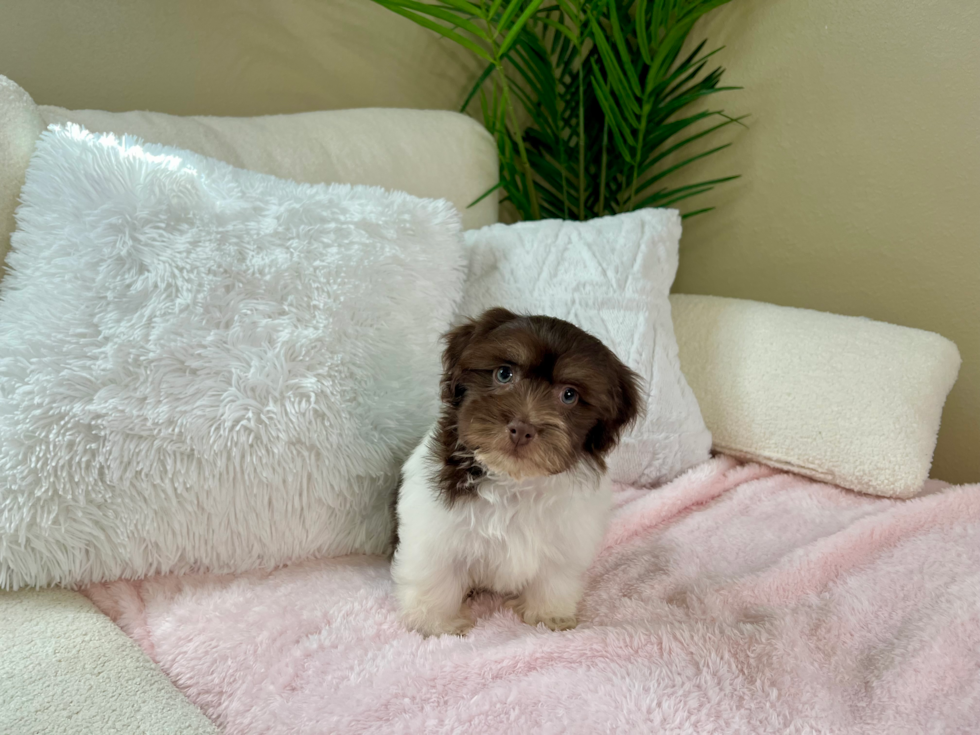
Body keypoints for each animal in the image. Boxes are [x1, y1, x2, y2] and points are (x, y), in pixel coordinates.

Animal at [390, 308, 644, 636]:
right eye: (504, 374)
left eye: (569, 395)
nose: (522, 429)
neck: (513, 479)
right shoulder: (435, 527)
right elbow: (436, 573)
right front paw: (435, 623)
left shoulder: (566, 536)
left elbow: (554, 577)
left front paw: (550, 615)